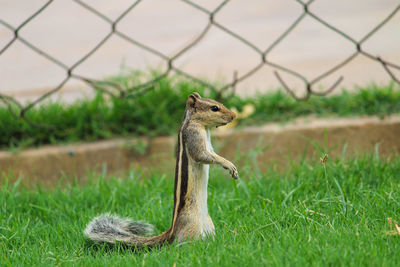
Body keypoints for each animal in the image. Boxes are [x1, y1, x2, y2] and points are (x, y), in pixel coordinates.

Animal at [84, 92, 238, 249]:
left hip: (209, 223)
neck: (198, 124)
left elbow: (211, 153)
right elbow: (201, 155)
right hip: (192, 222)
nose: (234, 116)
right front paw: (228, 164)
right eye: (214, 108)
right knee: (181, 244)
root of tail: (172, 231)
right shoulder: (193, 136)